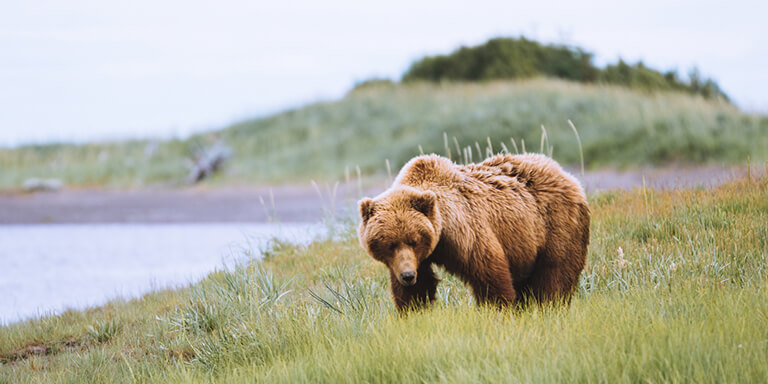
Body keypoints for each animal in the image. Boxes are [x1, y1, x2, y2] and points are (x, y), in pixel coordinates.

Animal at [356, 153, 592, 312]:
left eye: (413, 240)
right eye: (390, 244)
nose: (407, 275)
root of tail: (567, 175)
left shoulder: (466, 232)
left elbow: (489, 273)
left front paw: (498, 309)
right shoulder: (417, 259)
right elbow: (418, 289)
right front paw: (413, 310)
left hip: (556, 225)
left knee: (555, 273)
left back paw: (549, 305)